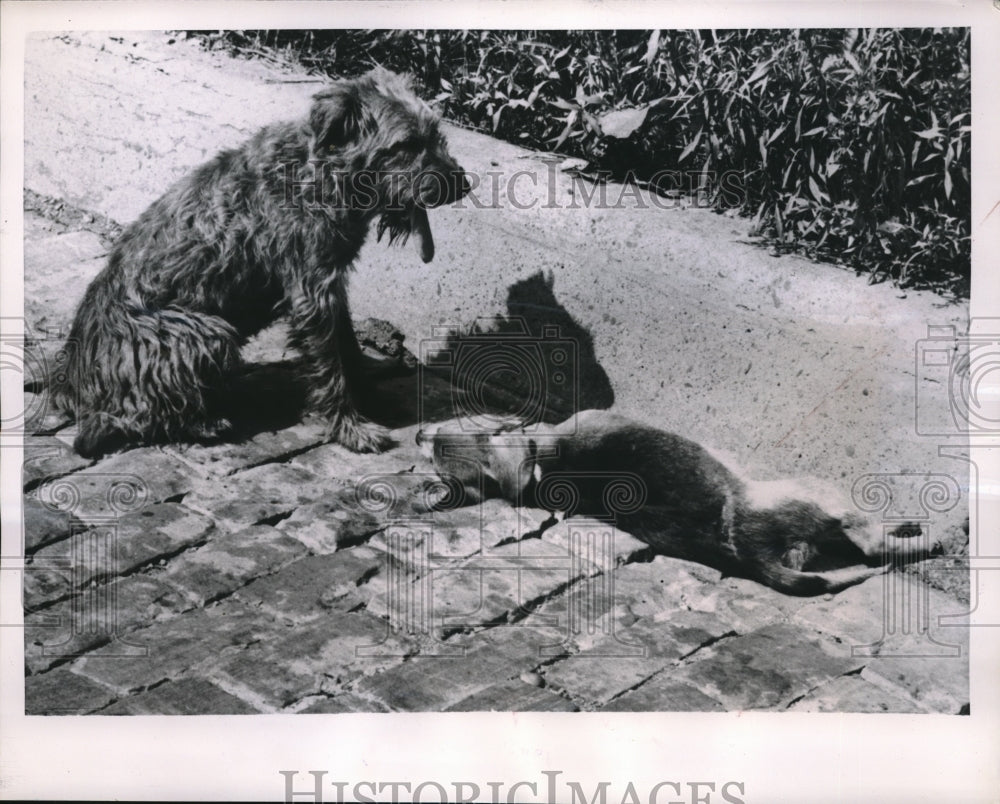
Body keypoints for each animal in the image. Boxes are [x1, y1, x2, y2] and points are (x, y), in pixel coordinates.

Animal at [416, 412, 936, 592]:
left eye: (446, 428)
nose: (418, 434)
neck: (542, 461)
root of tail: (747, 550)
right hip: (811, 489)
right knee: (871, 544)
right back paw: (925, 537)